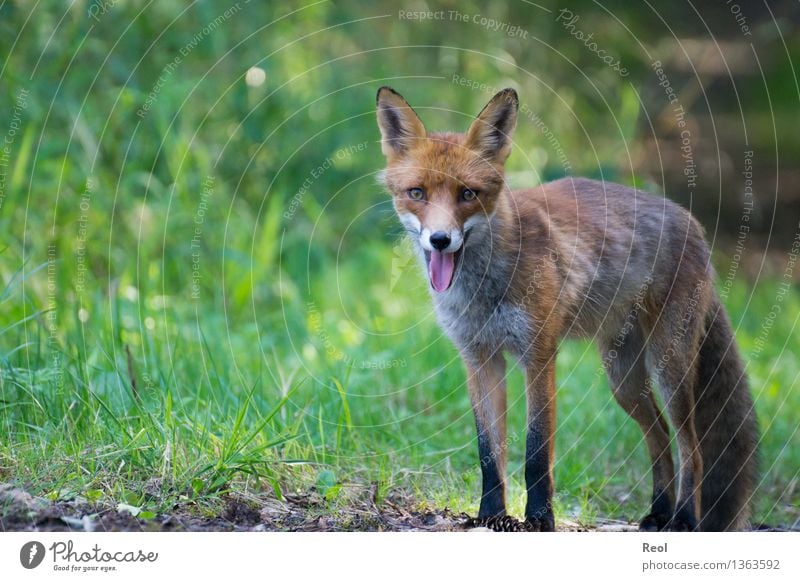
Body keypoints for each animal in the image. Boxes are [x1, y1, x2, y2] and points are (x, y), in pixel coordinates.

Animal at [378, 85, 760, 532]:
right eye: (417, 193)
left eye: (468, 194)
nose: (440, 240)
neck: (484, 290)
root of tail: (693, 224)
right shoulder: (479, 358)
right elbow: (489, 453)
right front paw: (491, 515)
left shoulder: (539, 354)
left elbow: (535, 451)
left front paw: (540, 518)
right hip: (624, 379)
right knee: (661, 438)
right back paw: (659, 511)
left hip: (669, 368)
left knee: (692, 447)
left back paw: (682, 517)